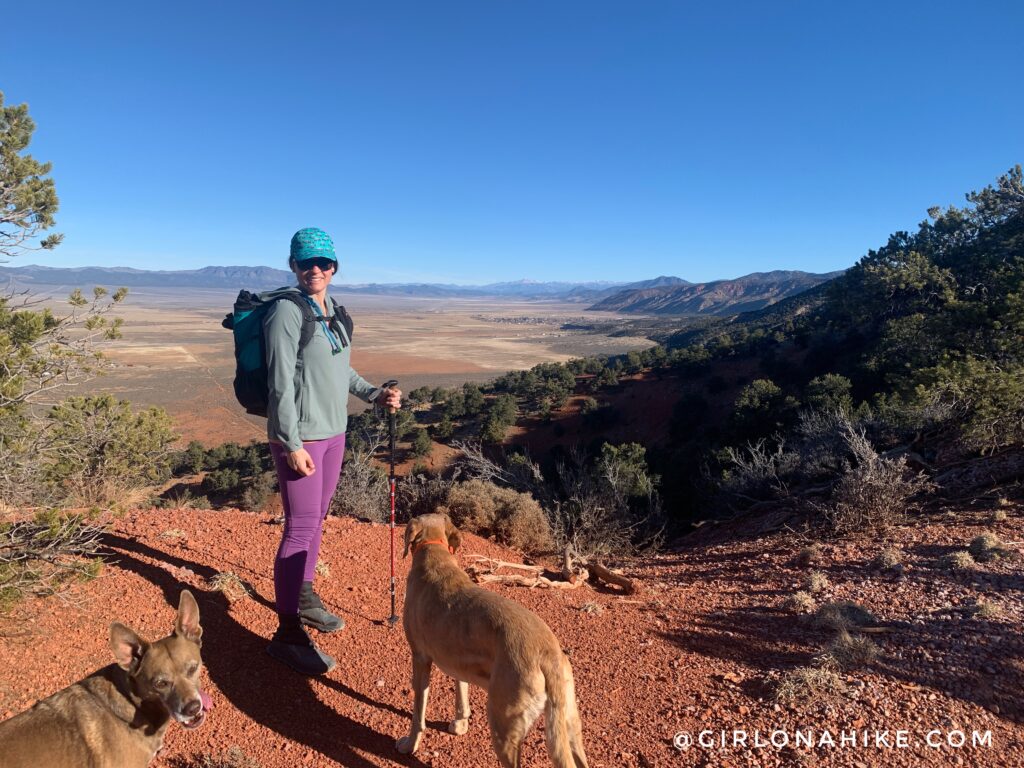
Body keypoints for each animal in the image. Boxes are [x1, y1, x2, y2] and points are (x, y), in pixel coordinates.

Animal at [399, 514, 593, 765]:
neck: (434, 549)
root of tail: (548, 654)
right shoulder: (458, 660)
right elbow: (461, 690)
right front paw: (460, 723)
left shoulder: (420, 657)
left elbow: (418, 711)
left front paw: (410, 744)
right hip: (569, 723)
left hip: (504, 725)